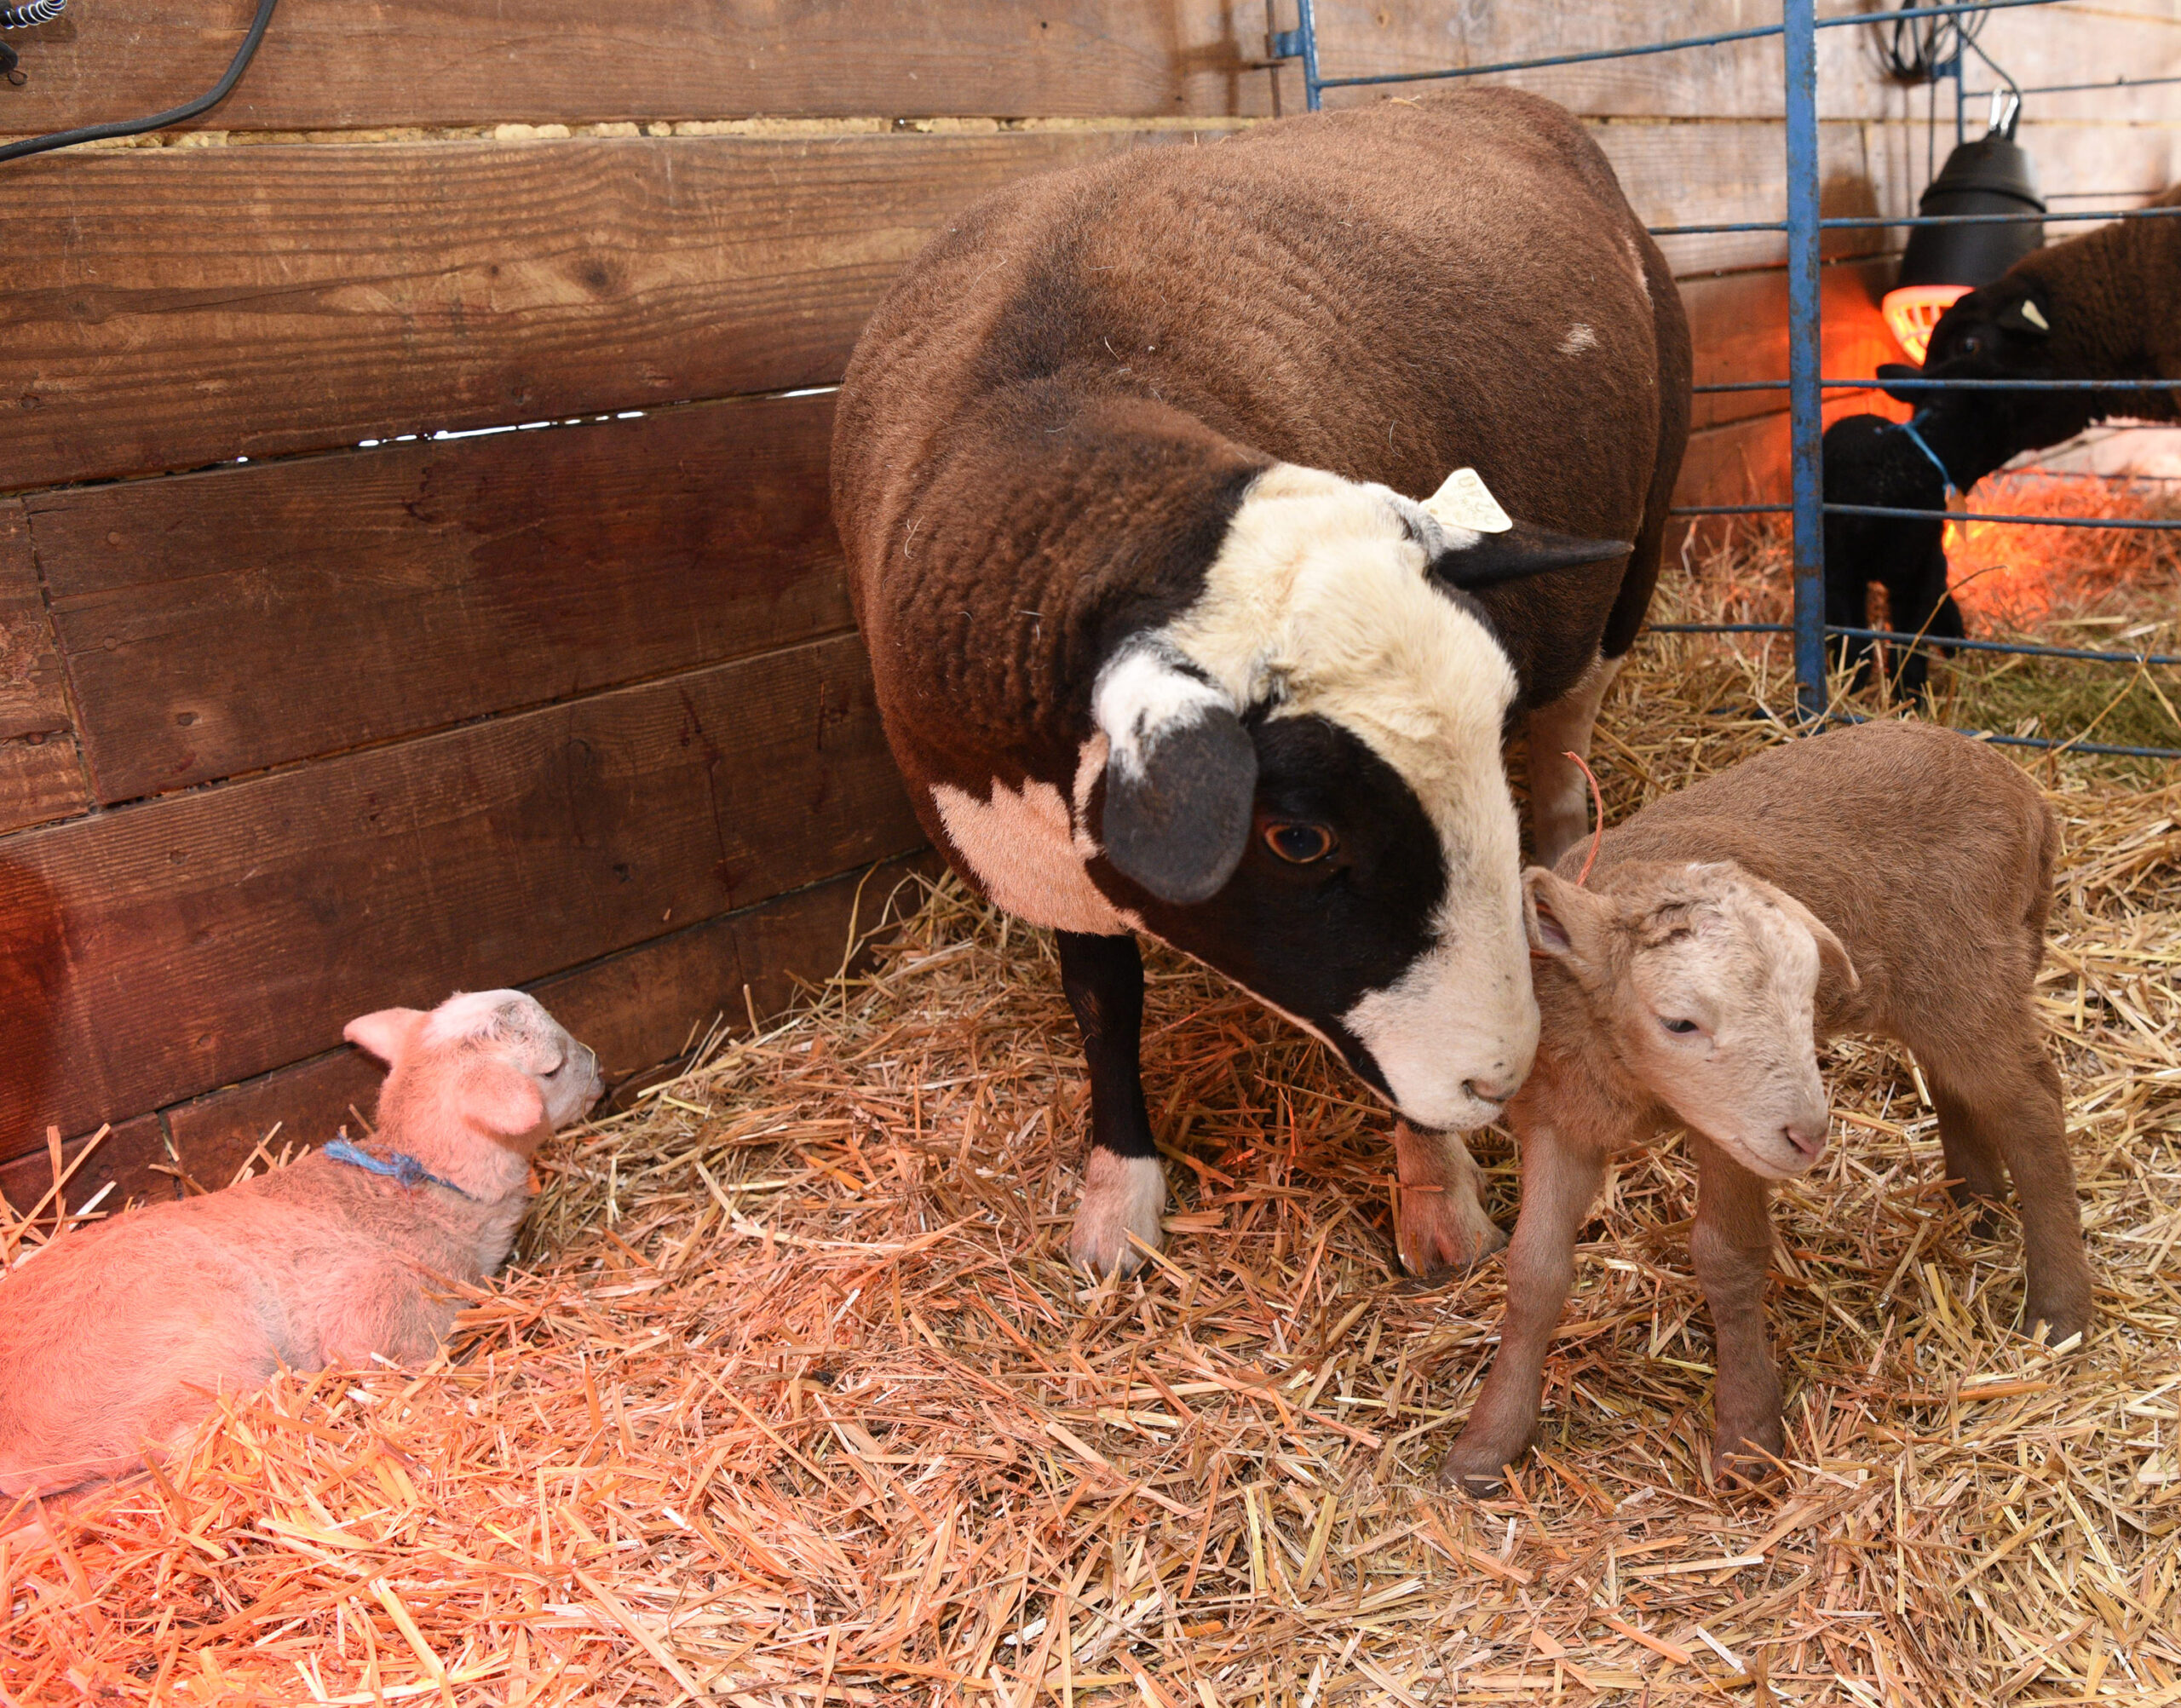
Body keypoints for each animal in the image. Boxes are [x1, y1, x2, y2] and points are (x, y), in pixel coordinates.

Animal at [831, 88, 1692, 1279]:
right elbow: (1101, 1006)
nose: (1498, 1078)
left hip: (1633, 555)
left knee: (1571, 731)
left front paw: (1438, 1201)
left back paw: (1562, 856)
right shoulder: (1041, 861)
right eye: (1297, 838)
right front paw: (1118, 1203)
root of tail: (1507, 99)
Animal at [1439, 721, 2094, 1490]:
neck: (1637, 1084)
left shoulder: (1736, 1135)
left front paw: (1747, 1435)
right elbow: (1534, 1272)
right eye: (1680, 1022)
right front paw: (1487, 1443)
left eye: (1807, 997)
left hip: (1972, 969)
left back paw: (2059, 1308)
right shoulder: (1564, 1116)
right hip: (1940, 985)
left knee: (2033, 1109)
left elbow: (1727, 1256)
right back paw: (1977, 1200)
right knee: (1953, 1077)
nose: (1810, 1135)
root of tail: (2022, 789)